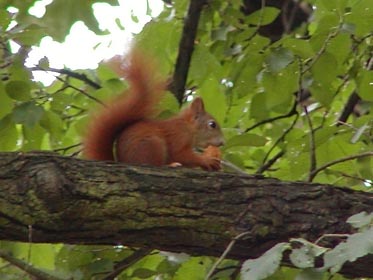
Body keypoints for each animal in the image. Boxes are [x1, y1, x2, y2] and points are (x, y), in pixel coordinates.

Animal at [83, 49, 224, 170]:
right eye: (212, 124)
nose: (222, 142)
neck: (187, 127)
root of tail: (122, 161)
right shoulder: (177, 138)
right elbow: (181, 155)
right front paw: (206, 160)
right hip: (153, 145)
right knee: (155, 163)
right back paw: (170, 165)